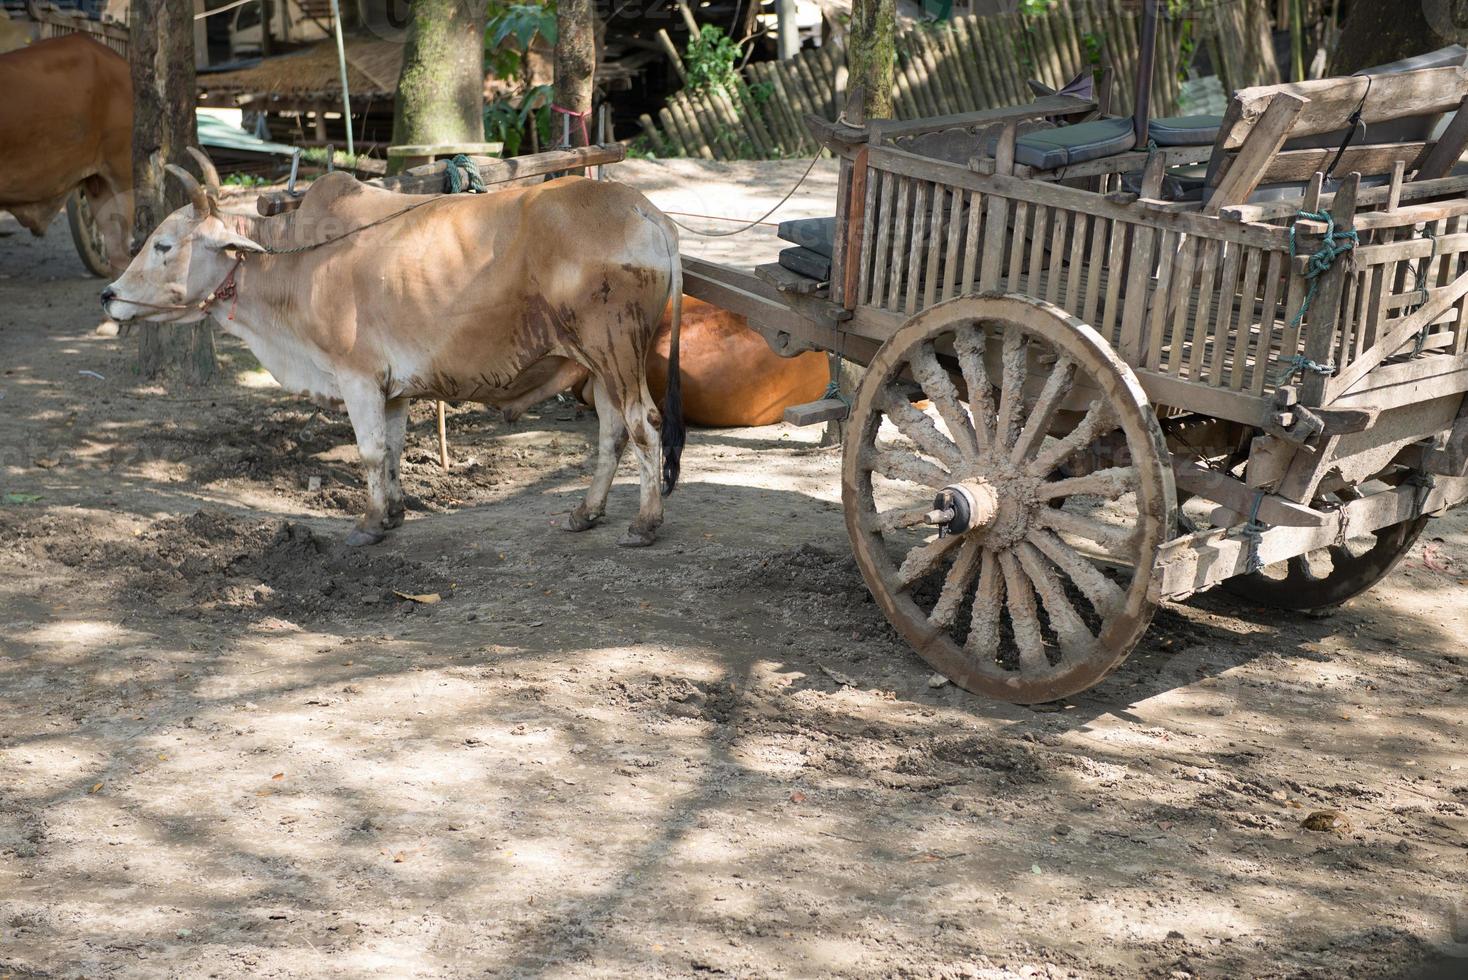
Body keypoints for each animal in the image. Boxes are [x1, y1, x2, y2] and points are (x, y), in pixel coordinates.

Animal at [103, 154, 687, 551]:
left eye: (163, 245)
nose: (109, 296)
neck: (296, 261)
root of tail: (645, 210)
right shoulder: (393, 388)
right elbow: (394, 448)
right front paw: (395, 512)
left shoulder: (357, 376)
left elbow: (369, 451)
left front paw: (369, 523)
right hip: (599, 364)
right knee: (613, 432)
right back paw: (587, 512)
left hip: (615, 350)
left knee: (645, 423)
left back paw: (645, 523)